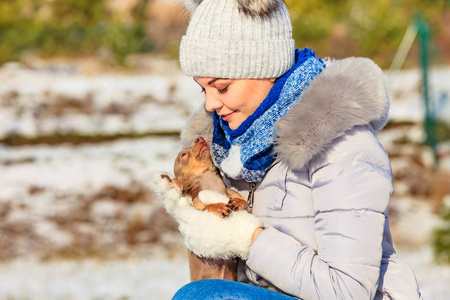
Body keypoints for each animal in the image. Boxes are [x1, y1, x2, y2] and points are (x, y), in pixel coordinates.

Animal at [162, 136, 248, 282]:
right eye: (183, 155)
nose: (199, 138)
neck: (213, 184)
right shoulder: (196, 209)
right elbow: (206, 207)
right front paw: (217, 206)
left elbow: (245, 204)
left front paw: (239, 202)